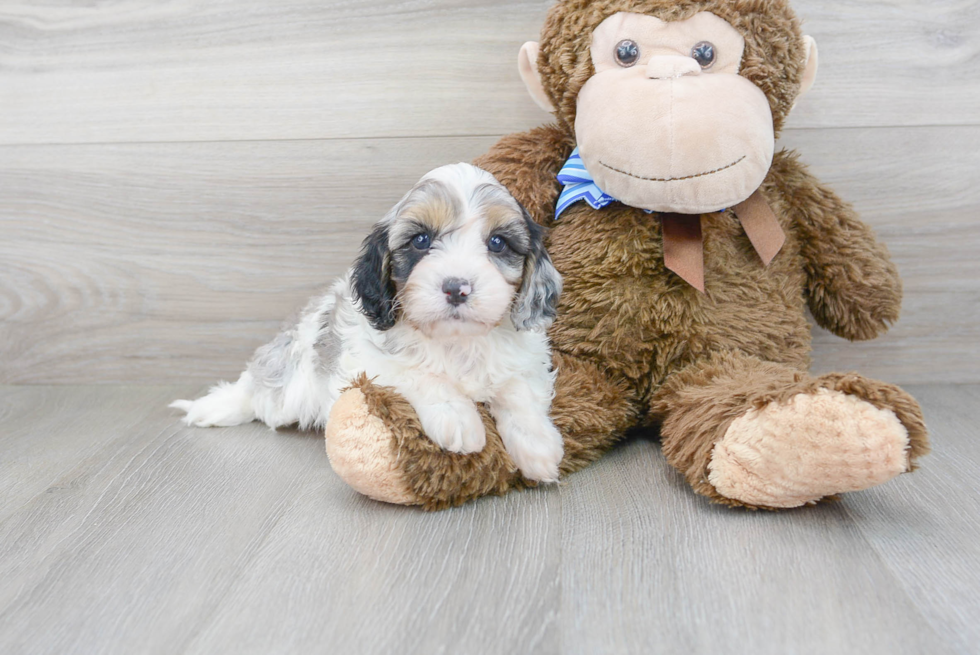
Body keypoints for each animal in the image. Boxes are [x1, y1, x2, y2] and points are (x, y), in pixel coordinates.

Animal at [172, 164, 564, 482]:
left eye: (498, 243)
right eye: (421, 240)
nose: (457, 287)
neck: (456, 341)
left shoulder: (525, 360)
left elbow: (519, 391)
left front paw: (538, 445)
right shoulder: (365, 360)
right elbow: (418, 373)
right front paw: (458, 417)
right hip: (290, 383)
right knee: (256, 392)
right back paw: (223, 404)